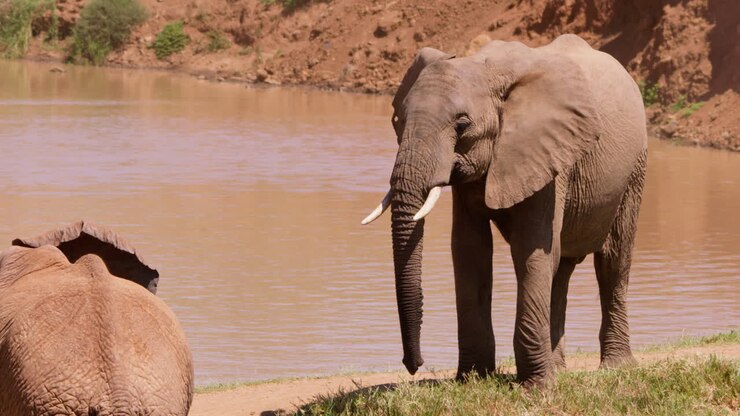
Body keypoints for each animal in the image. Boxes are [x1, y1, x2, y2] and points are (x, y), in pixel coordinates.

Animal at [362, 34, 647, 386]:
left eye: (462, 125)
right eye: (397, 121)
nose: (414, 364)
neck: (485, 68)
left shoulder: (547, 154)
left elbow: (530, 249)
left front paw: (536, 388)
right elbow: (470, 250)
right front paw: (472, 379)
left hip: (635, 166)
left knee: (612, 260)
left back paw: (616, 367)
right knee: (560, 268)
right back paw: (559, 367)